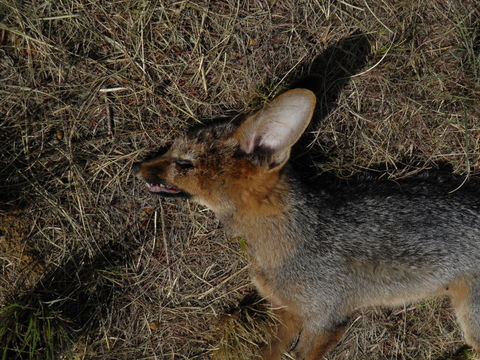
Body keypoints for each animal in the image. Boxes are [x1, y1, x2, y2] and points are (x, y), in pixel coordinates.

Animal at [133, 88, 480, 358]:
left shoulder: (325, 320)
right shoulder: (285, 311)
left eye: (183, 164)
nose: (138, 167)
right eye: (169, 150)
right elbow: (268, 353)